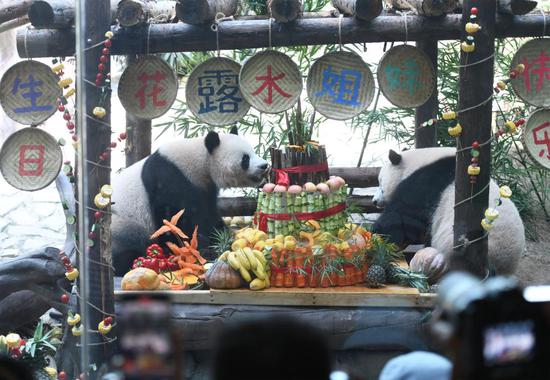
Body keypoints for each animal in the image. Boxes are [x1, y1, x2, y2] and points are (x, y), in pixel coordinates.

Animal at [111, 127, 268, 276]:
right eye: (245, 158)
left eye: (253, 151)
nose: (265, 165)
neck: (200, 160)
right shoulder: (168, 178)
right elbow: (176, 221)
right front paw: (204, 251)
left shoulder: (205, 188)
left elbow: (208, 215)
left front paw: (223, 239)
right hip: (122, 229)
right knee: (124, 254)